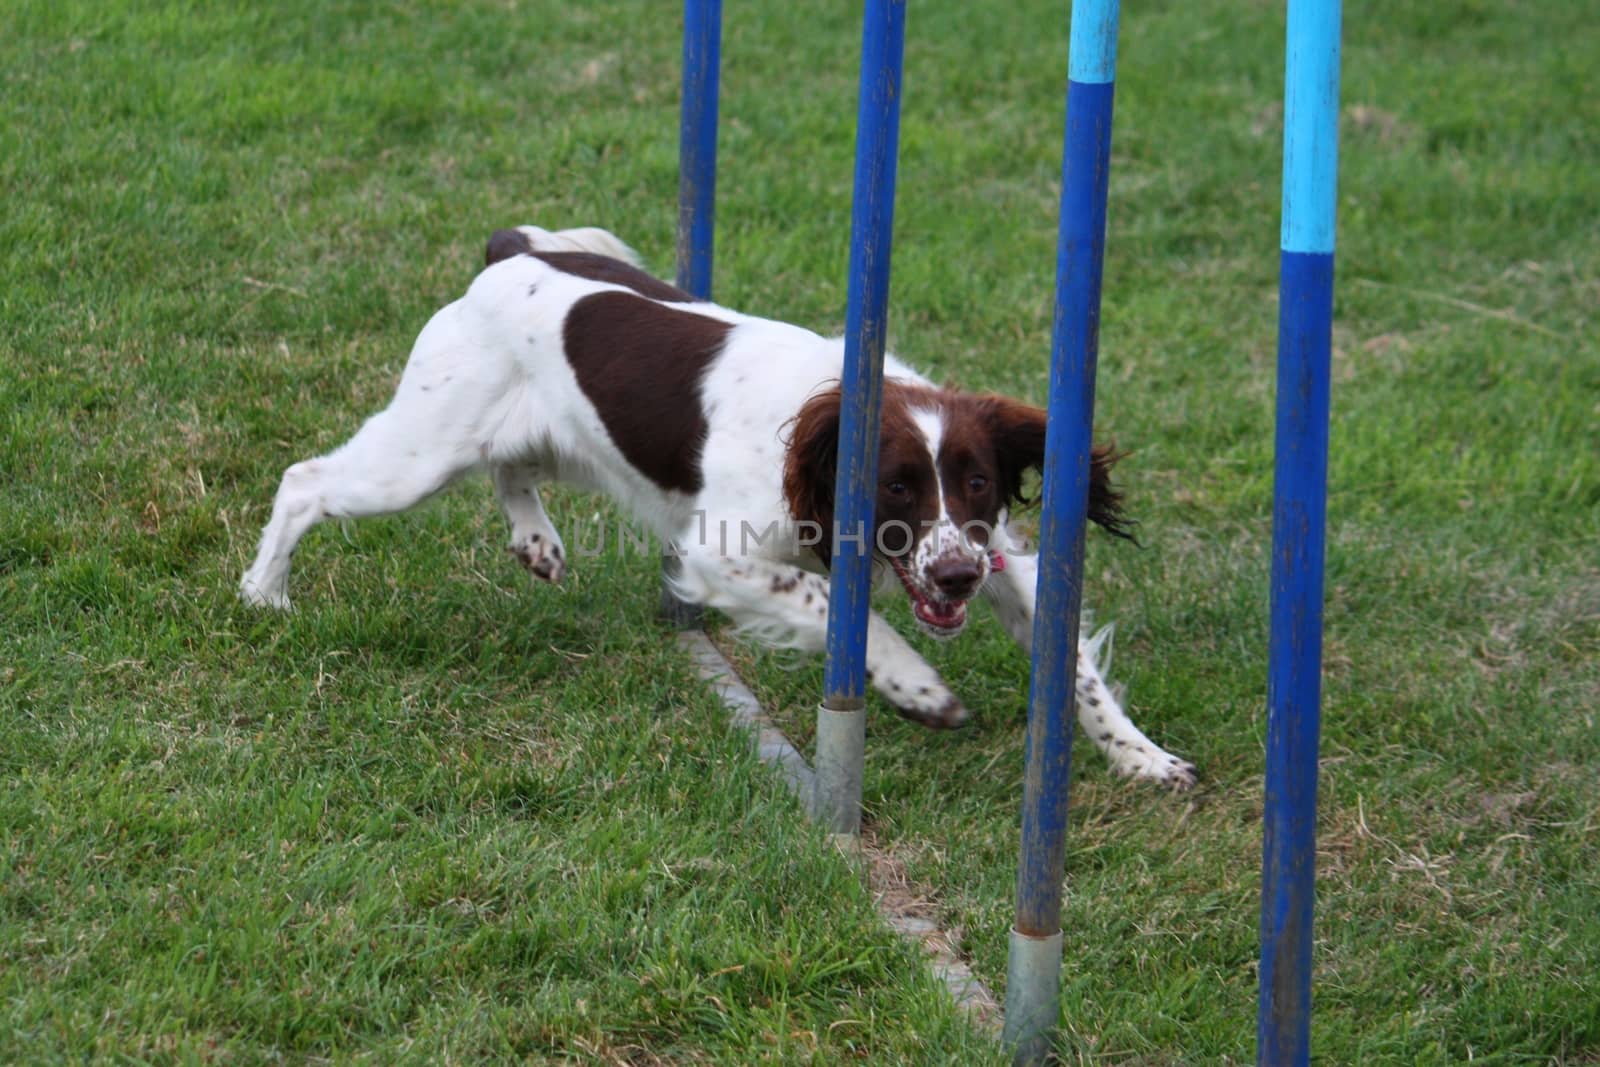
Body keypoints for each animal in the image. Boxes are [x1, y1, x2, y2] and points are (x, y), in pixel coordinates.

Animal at [243, 225, 1196, 790]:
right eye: (895, 483)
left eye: (977, 483)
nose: (956, 579)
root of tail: (509, 252)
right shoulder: (718, 552)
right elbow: (834, 605)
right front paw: (919, 687)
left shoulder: (995, 552)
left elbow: (1074, 663)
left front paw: (1145, 757)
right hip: (420, 450)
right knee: (305, 480)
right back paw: (265, 593)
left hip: (548, 437)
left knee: (509, 470)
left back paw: (537, 541)